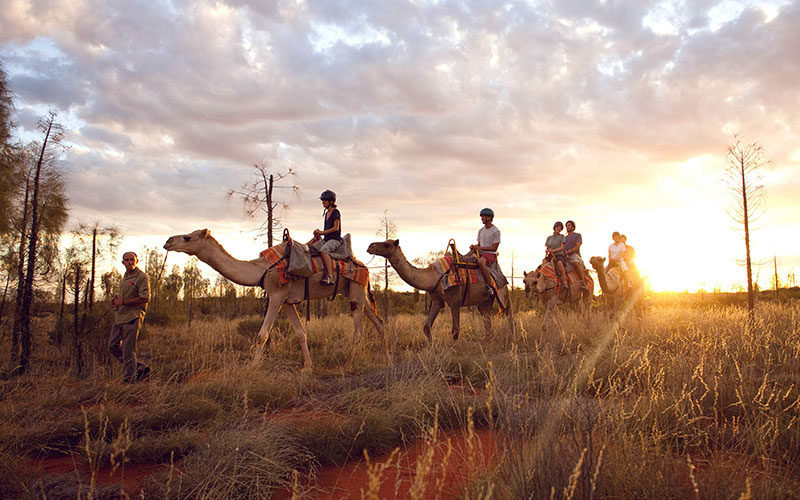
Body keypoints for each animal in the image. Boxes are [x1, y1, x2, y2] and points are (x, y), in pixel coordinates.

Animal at [164, 230, 386, 372]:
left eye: (188, 237)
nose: (168, 241)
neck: (261, 269)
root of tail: (364, 266)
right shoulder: (287, 301)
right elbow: (300, 333)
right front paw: (307, 367)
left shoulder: (276, 295)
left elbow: (262, 334)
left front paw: (251, 367)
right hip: (353, 291)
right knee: (379, 321)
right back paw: (387, 356)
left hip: (355, 291)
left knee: (359, 331)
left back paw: (348, 363)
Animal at [368, 238, 516, 340]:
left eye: (387, 244)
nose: (370, 246)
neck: (432, 276)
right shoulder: (437, 299)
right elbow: (426, 327)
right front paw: (431, 349)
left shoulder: (455, 301)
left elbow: (455, 330)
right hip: (485, 300)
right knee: (487, 320)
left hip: (502, 291)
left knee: (509, 315)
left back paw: (512, 340)